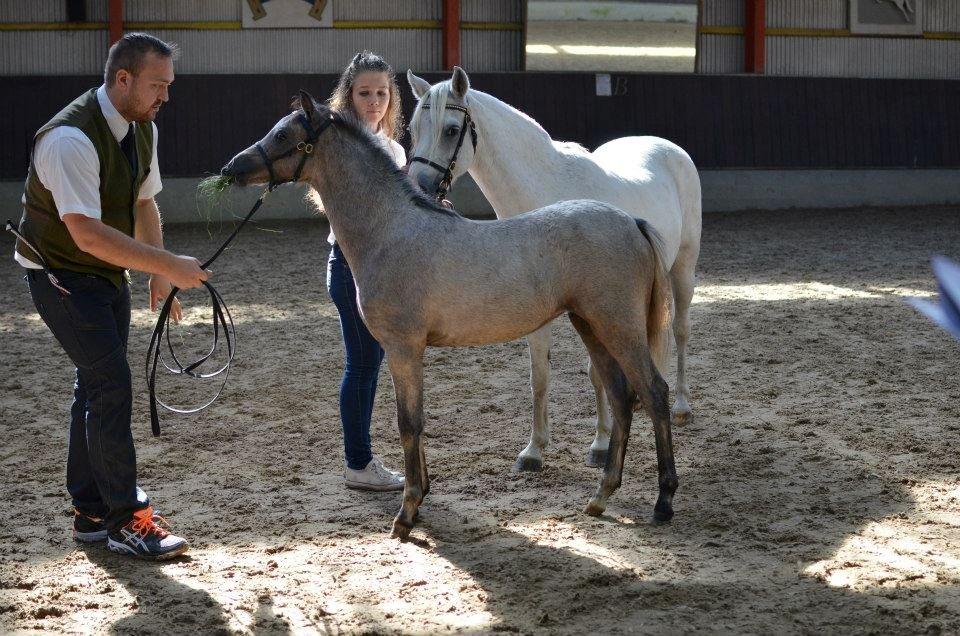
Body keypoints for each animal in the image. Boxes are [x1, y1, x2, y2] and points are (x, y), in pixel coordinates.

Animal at [220, 91, 679, 539]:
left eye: (283, 135)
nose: (232, 169)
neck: (391, 231)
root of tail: (632, 222)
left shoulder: (403, 348)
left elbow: (408, 423)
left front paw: (406, 515)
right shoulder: (408, 351)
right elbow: (418, 421)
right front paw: (421, 498)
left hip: (618, 328)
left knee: (654, 393)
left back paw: (663, 501)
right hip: (592, 327)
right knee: (621, 397)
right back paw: (600, 497)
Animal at [405, 67, 702, 474]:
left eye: (451, 130)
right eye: (412, 129)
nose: (419, 187)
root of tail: (670, 149)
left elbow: (595, 373)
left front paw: (600, 445)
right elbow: (540, 376)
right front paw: (534, 450)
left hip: (682, 269)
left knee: (682, 330)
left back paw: (683, 407)